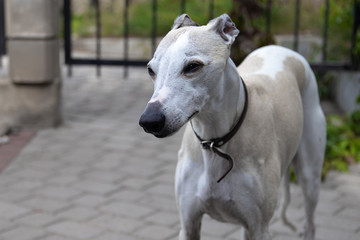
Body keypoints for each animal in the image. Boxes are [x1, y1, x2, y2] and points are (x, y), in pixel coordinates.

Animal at [139, 13, 328, 240]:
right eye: (151, 70)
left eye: (193, 66)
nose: (149, 121)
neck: (214, 143)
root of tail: (283, 49)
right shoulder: (188, 222)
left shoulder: (259, 228)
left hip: (310, 176)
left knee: (310, 221)